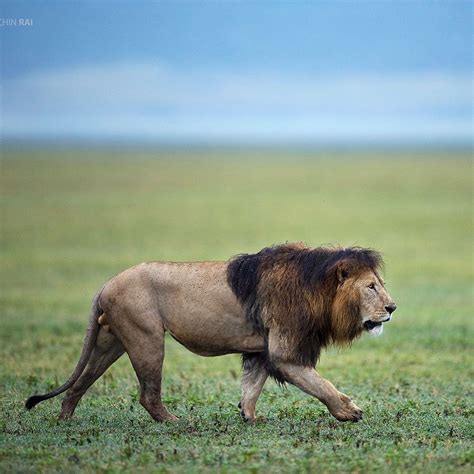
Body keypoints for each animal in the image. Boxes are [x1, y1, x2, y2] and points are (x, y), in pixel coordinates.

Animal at [25, 244, 396, 422]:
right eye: (371, 287)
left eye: (380, 284)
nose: (392, 308)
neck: (317, 291)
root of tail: (105, 284)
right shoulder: (285, 352)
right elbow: (321, 385)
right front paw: (349, 412)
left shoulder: (261, 350)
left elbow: (251, 386)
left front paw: (249, 417)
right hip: (146, 337)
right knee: (147, 394)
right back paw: (174, 422)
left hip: (110, 341)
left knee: (80, 383)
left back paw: (64, 420)